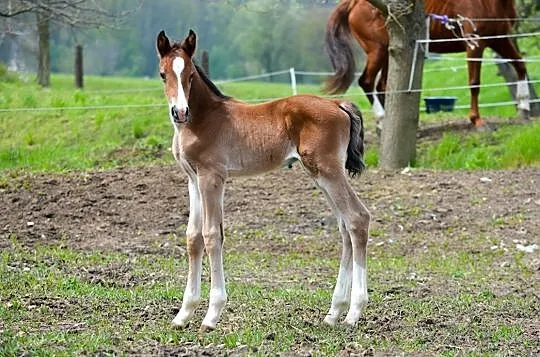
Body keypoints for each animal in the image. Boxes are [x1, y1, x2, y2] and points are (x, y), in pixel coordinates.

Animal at [156, 29, 372, 330]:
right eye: (163, 74)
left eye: (189, 75)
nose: (180, 112)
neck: (203, 120)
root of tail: (338, 103)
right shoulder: (193, 180)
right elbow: (193, 238)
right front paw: (183, 314)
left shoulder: (212, 177)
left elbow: (211, 235)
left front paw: (211, 315)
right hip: (321, 175)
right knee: (344, 226)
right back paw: (333, 313)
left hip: (329, 171)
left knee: (357, 218)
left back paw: (353, 313)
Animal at [324, 0, 532, 127]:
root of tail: (354, 3)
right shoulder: (475, 44)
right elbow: (474, 83)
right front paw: (476, 119)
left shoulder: (500, 39)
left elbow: (520, 65)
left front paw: (524, 107)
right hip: (378, 50)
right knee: (366, 82)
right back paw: (382, 120)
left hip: (389, 53)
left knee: (382, 85)